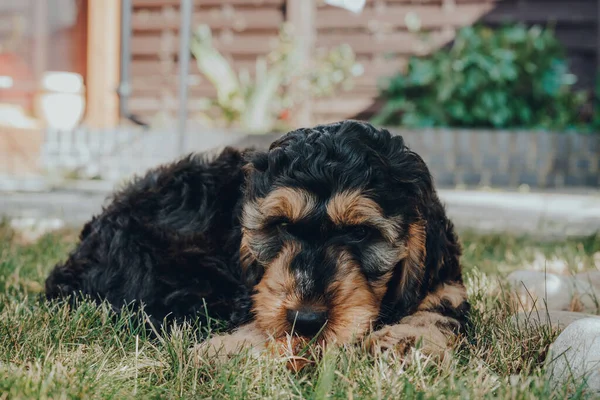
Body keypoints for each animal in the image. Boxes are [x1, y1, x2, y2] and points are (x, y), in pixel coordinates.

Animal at [47, 120, 468, 358]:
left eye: (361, 233)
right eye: (280, 226)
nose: (306, 320)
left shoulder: (443, 279)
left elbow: (438, 310)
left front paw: (406, 342)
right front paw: (232, 347)